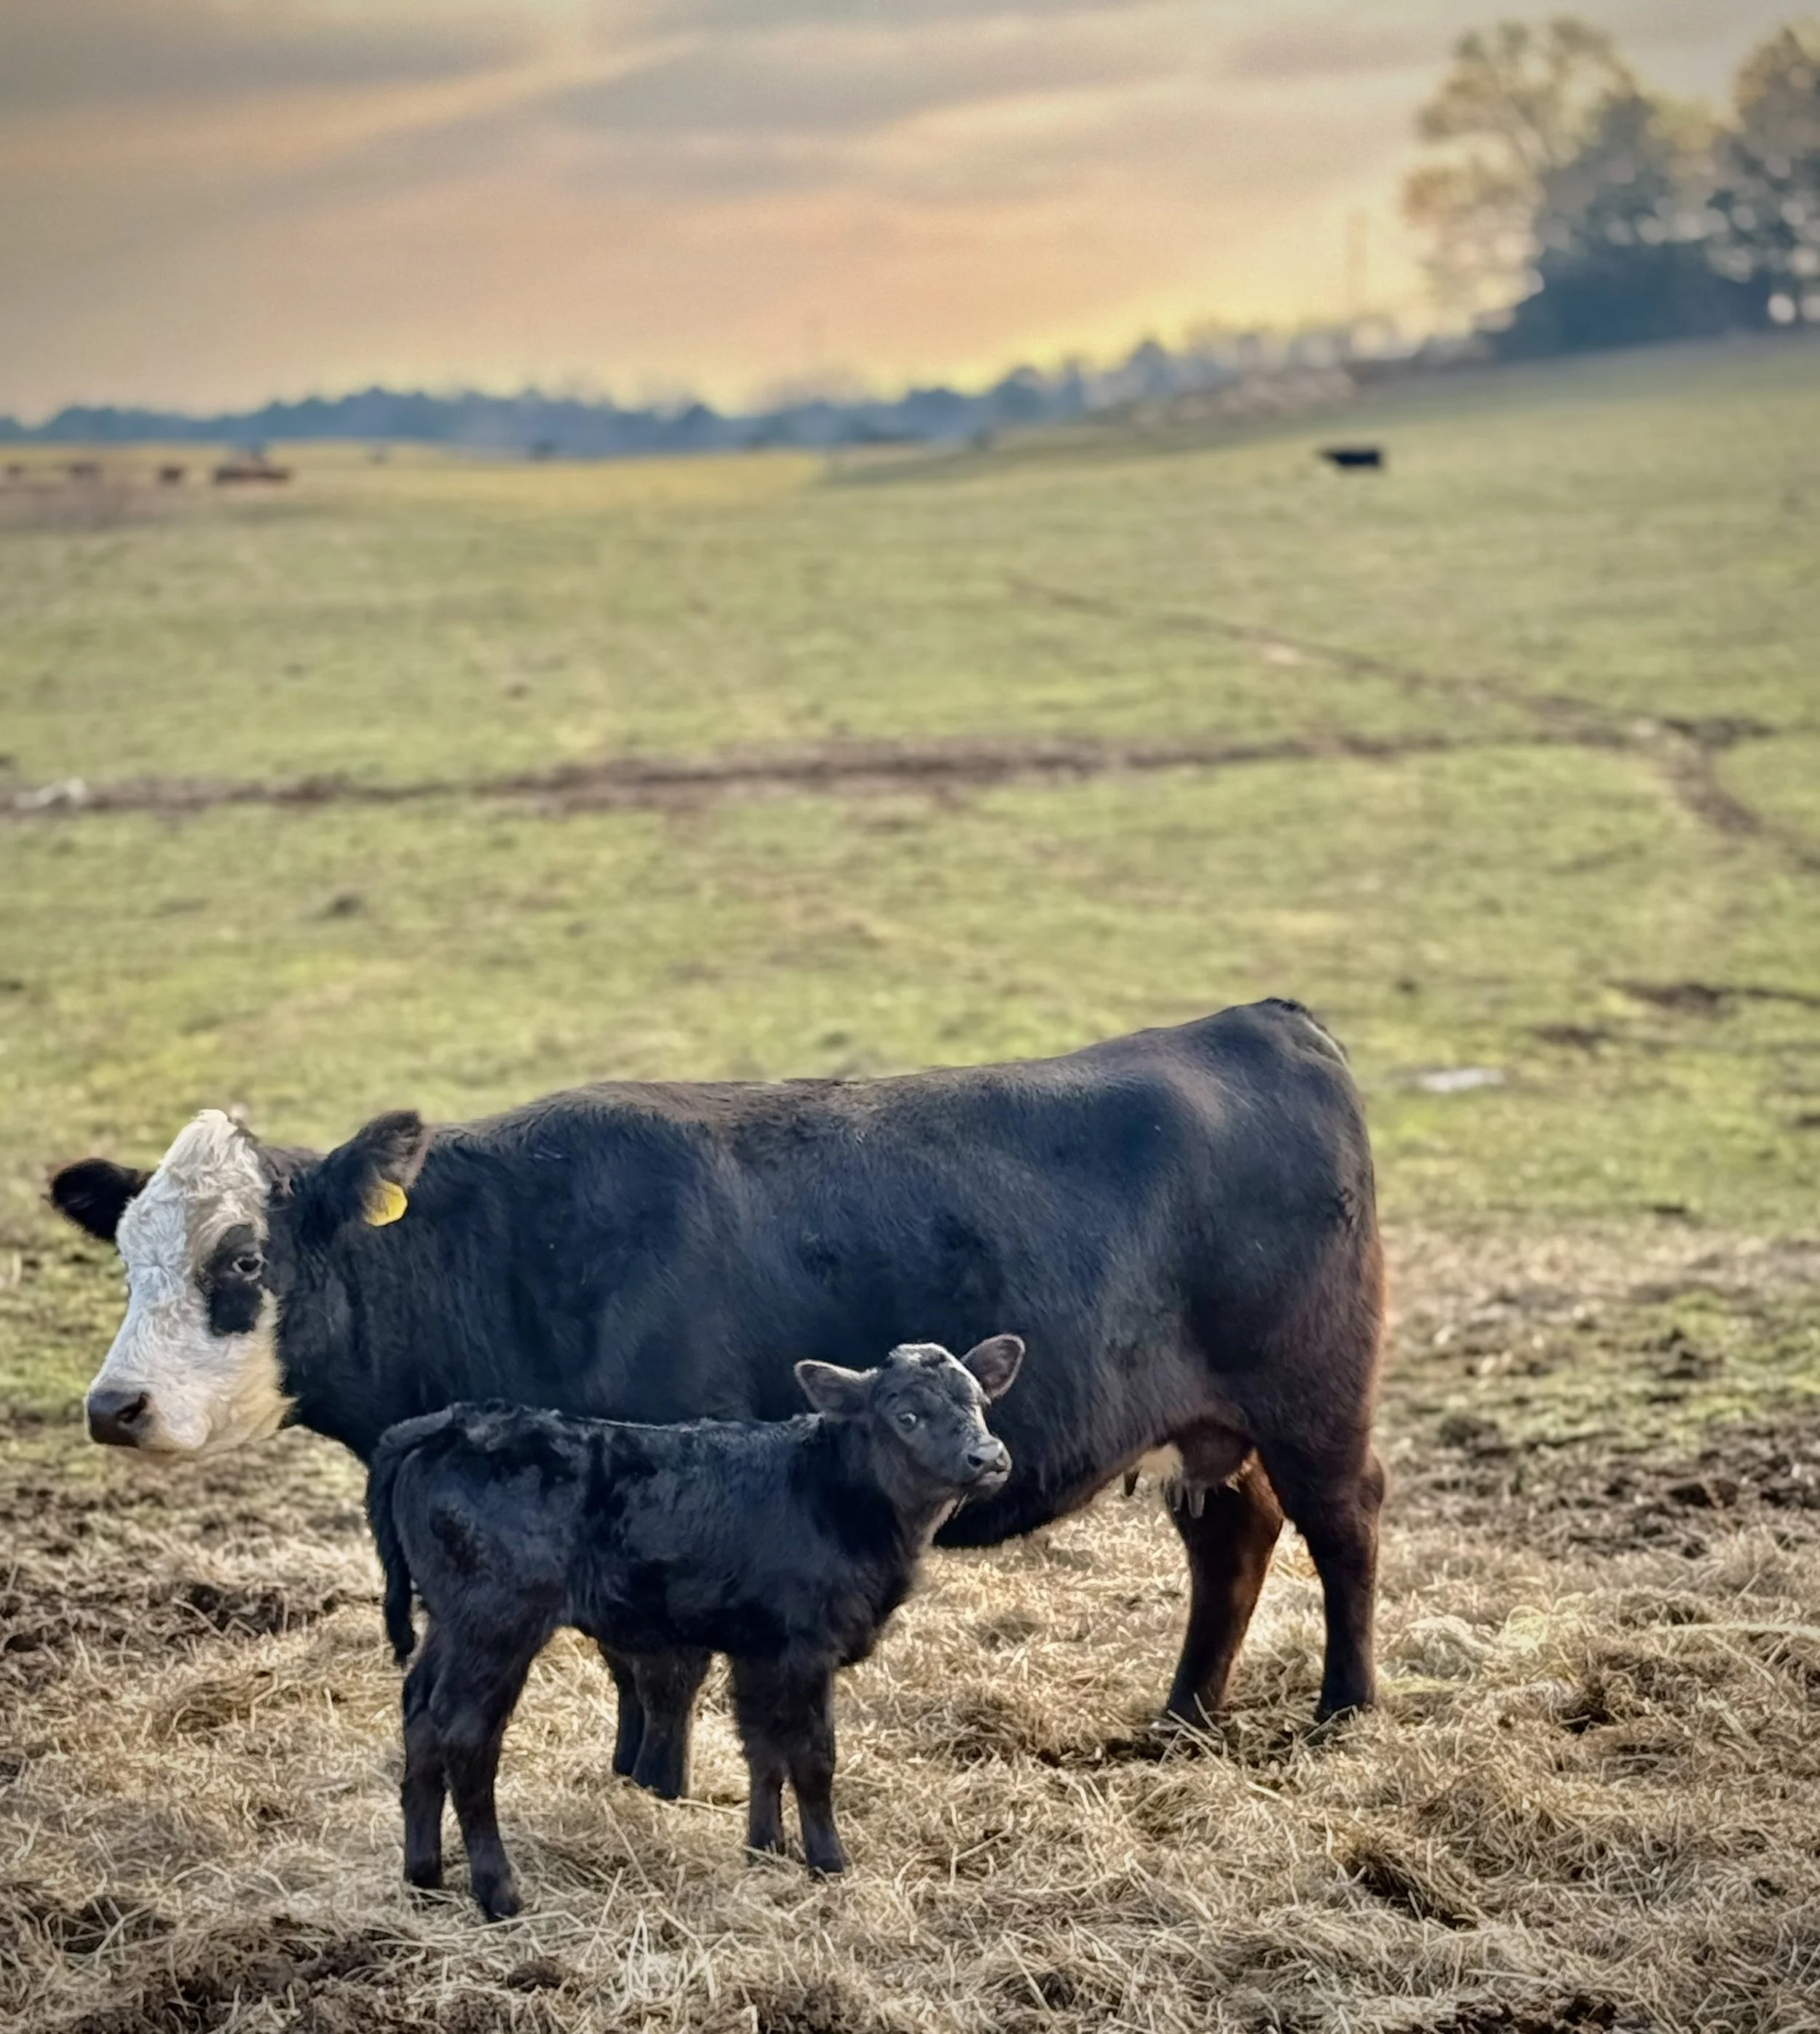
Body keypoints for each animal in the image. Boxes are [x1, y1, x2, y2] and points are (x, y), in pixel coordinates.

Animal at [47, 999, 1386, 1794]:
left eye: (243, 1261)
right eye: (126, 1252)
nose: (115, 1405)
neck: (519, 1247)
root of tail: (1256, 1022)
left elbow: (661, 1666)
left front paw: (661, 1789)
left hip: (1315, 1397)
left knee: (1344, 1524)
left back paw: (1344, 1713)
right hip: (1218, 1427)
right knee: (1235, 1539)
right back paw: (1185, 1720)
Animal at [367, 1335, 1024, 1915]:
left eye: (979, 1402)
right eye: (907, 1415)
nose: (989, 1457)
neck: (838, 1495)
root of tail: (449, 1423)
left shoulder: (759, 1648)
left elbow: (763, 1749)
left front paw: (765, 1850)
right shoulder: (804, 1646)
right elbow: (813, 1756)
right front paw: (828, 1862)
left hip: (450, 1620)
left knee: (420, 1713)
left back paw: (424, 1877)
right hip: (496, 1622)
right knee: (465, 1734)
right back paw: (498, 1893)